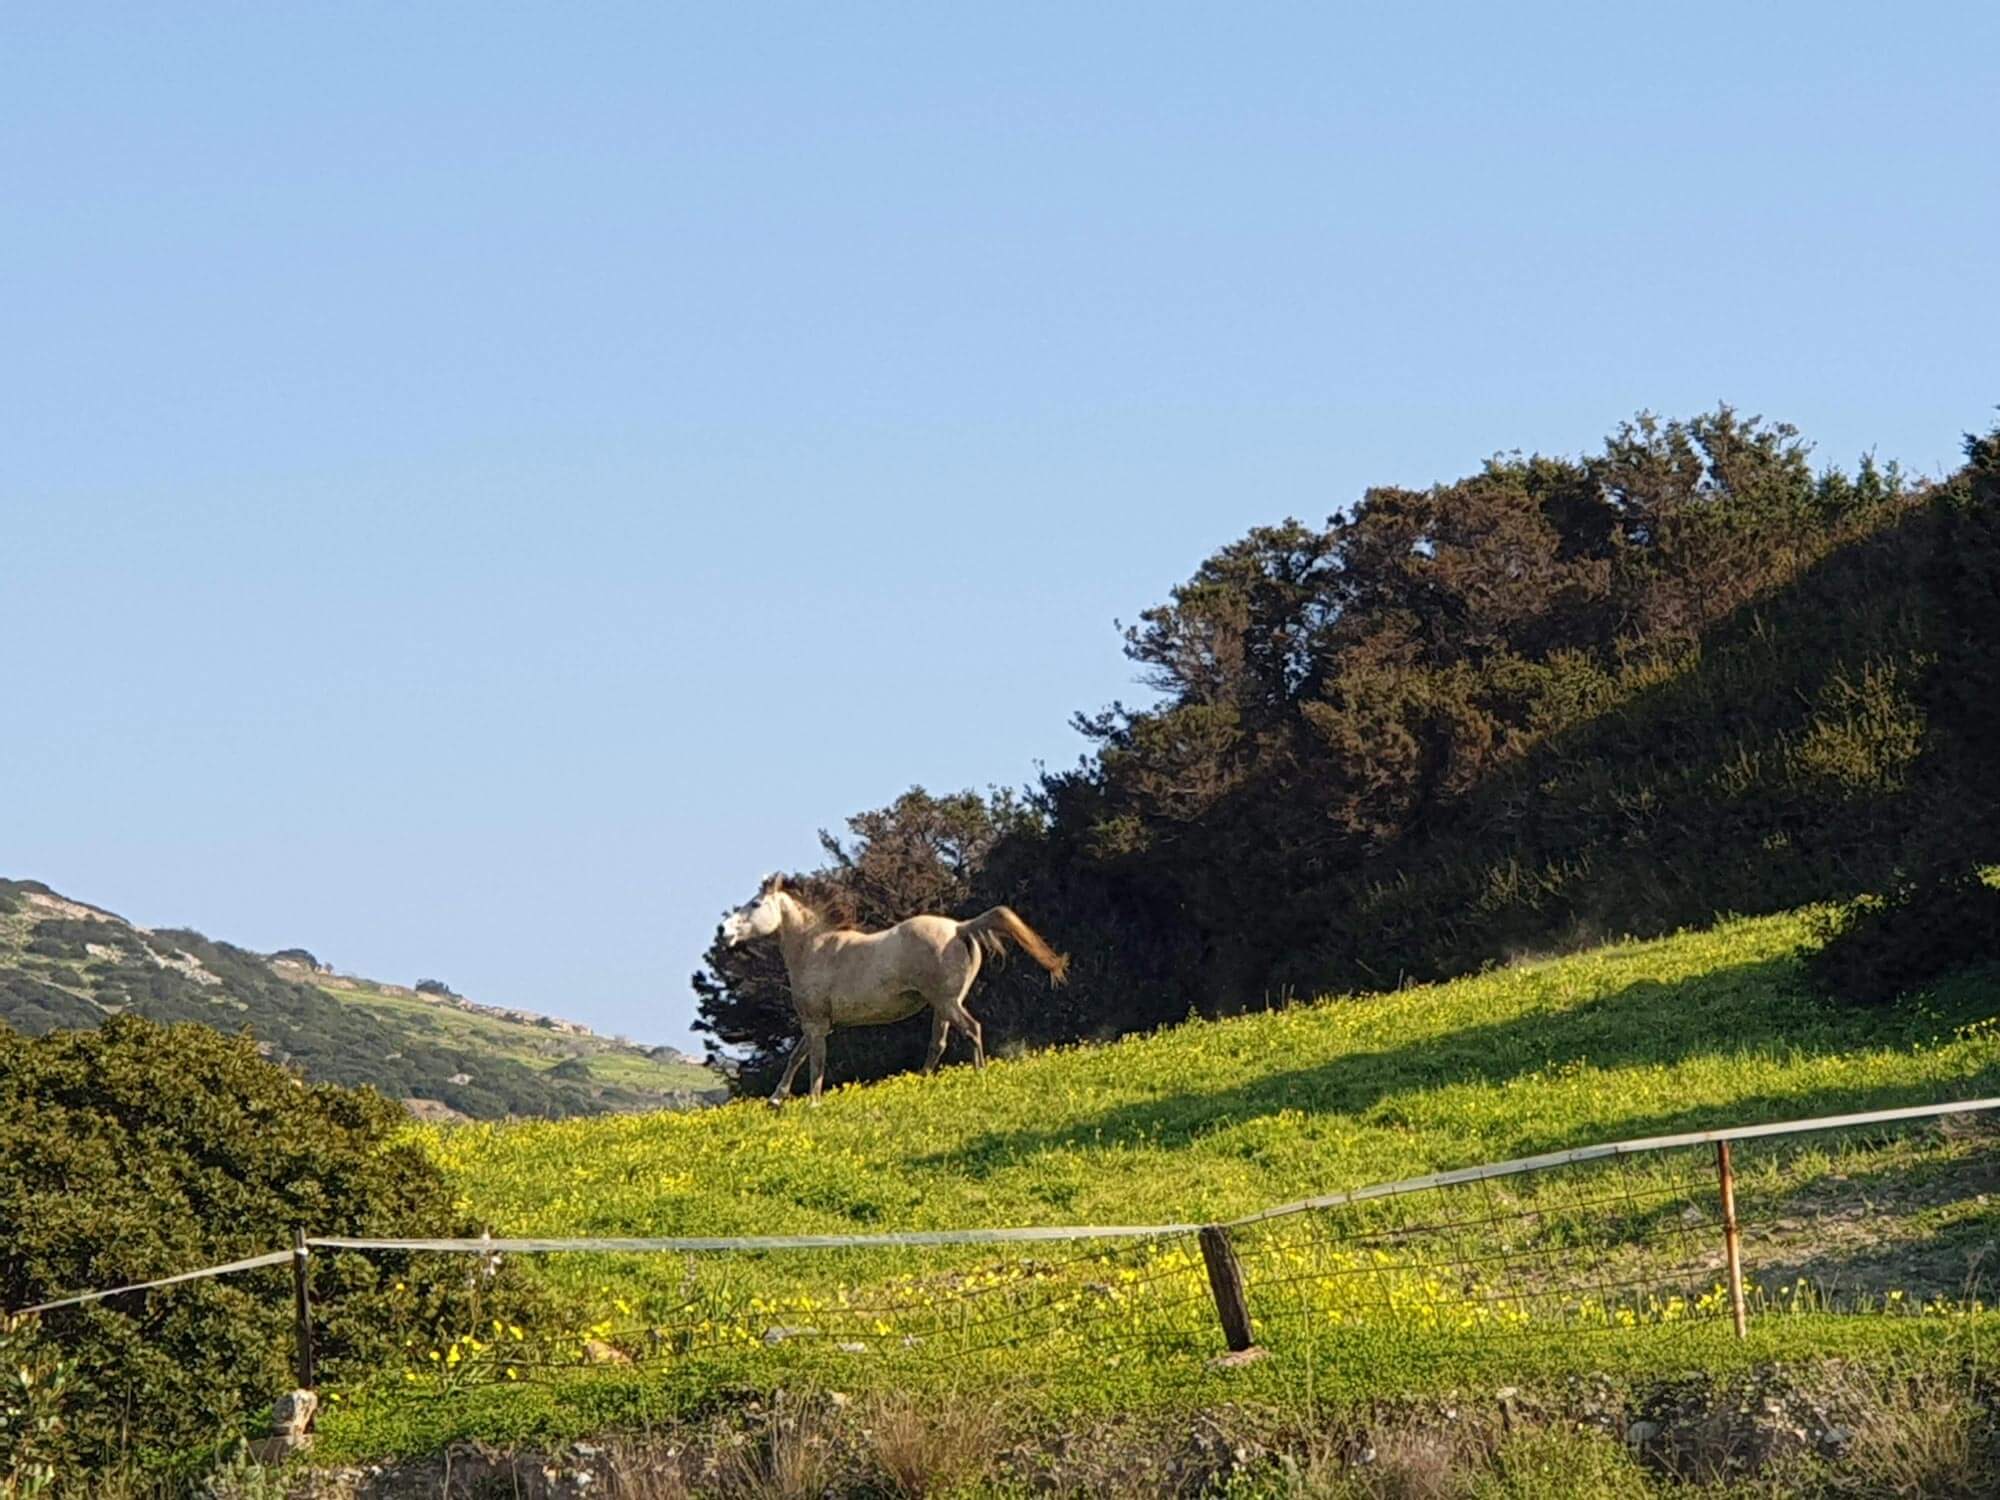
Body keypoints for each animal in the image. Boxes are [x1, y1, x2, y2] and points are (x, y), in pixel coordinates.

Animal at [720, 874, 1069, 1105]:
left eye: (756, 904)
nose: (723, 930)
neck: (816, 949)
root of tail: (960, 927)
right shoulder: (819, 1024)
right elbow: (796, 1057)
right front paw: (776, 1099)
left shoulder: (816, 1024)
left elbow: (814, 1061)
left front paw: (813, 1103)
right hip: (943, 1005)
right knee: (938, 1043)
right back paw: (920, 1082)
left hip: (947, 1001)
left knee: (972, 1029)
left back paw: (979, 1073)